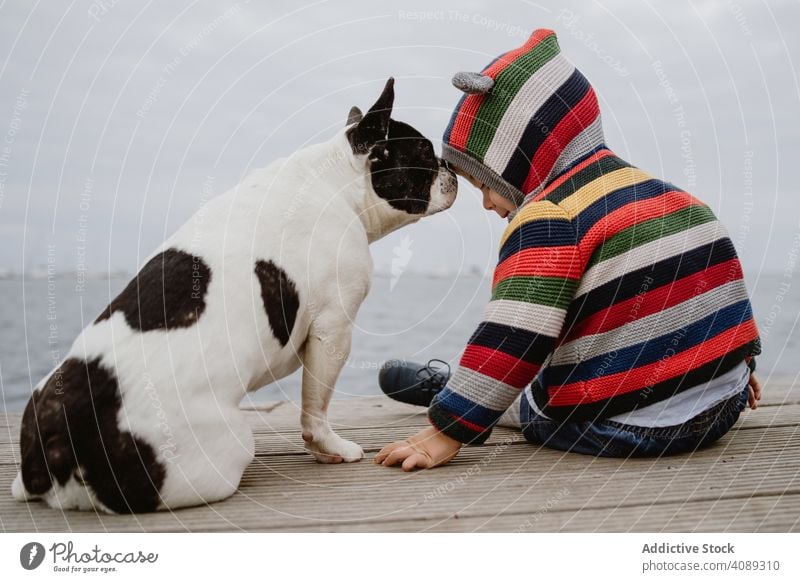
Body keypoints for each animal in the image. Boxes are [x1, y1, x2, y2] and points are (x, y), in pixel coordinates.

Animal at [14, 80, 456, 512]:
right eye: (424, 152)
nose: (450, 168)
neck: (335, 180)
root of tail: (60, 441)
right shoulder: (333, 329)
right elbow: (316, 404)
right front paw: (330, 449)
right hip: (225, 447)